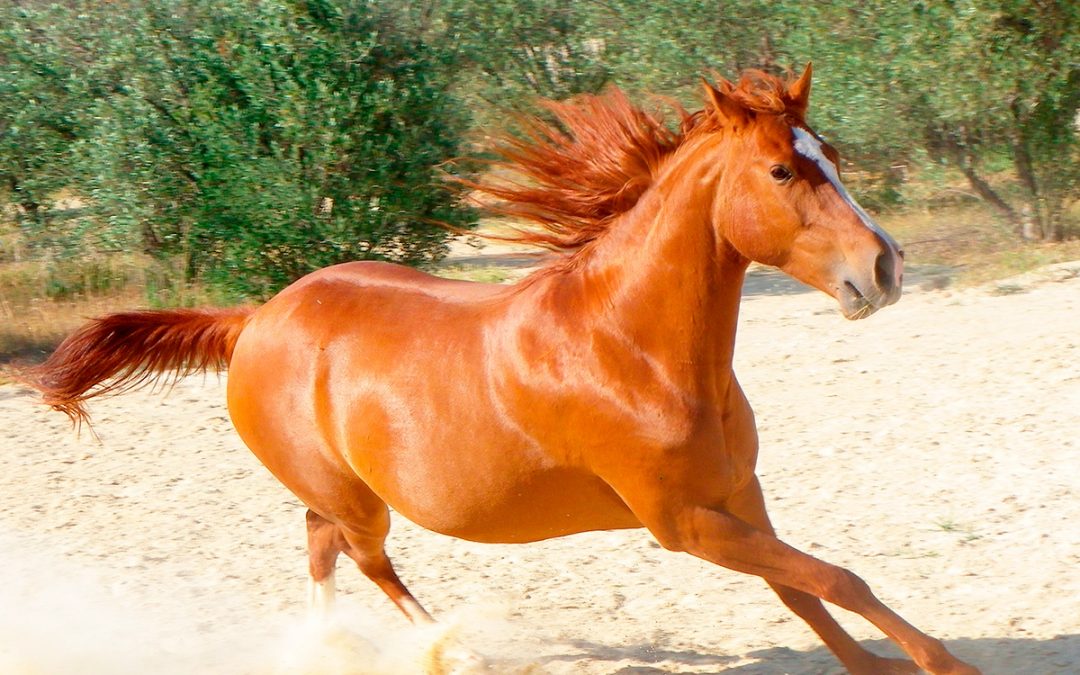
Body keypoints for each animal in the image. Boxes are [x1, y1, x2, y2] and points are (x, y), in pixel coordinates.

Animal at [28, 65, 980, 674]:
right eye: (781, 169)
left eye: (834, 159)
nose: (885, 267)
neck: (634, 349)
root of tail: (254, 317)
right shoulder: (681, 521)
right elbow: (832, 576)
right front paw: (944, 663)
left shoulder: (737, 493)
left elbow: (806, 590)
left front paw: (882, 665)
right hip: (360, 498)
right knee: (366, 559)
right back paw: (454, 648)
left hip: (336, 490)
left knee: (318, 546)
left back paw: (334, 650)